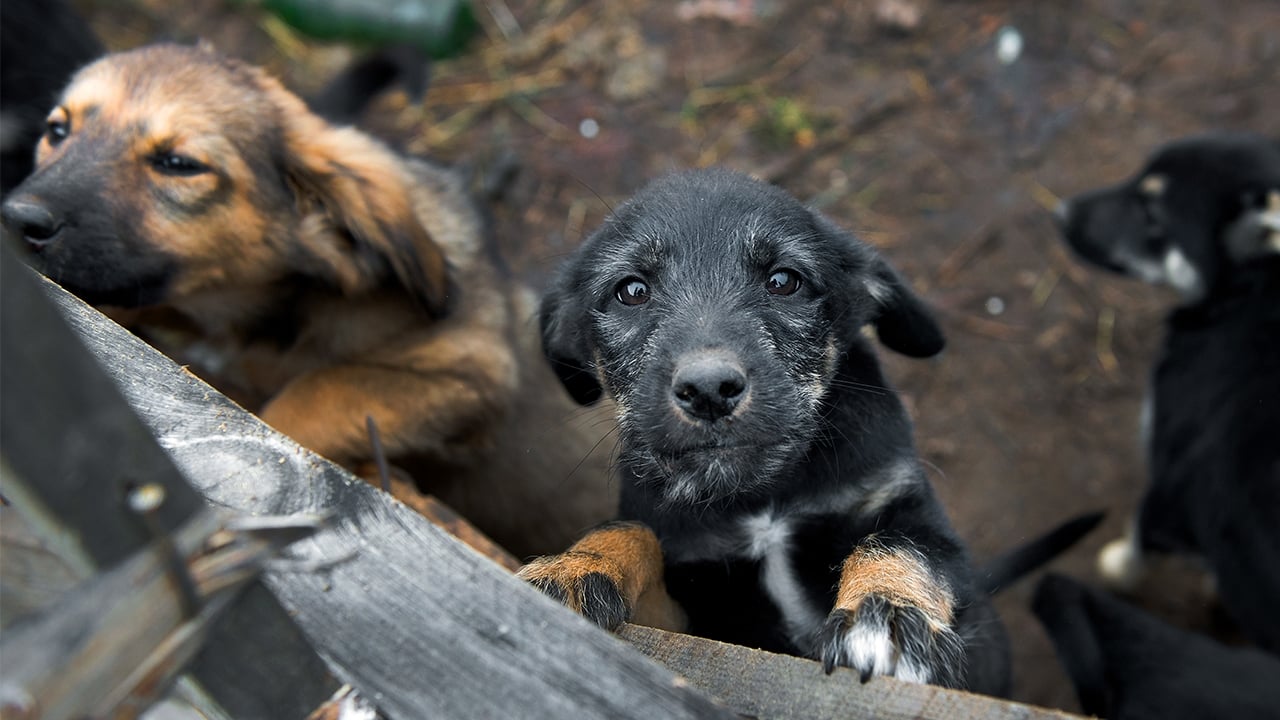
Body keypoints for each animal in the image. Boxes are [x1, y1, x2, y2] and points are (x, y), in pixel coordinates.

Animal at [0, 44, 619, 556]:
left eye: (179, 163)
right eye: (57, 129)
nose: (16, 219)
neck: (260, 314)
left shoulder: (472, 375)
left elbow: (313, 395)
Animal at [519, 167, 1100, 696]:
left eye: (784, 281)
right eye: (632, 291)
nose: (709, 389)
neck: (765, 495)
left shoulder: (907, 508)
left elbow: (901, 543)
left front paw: (886, 616)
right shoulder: (699, 611)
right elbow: (628, 530)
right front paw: (572, 571)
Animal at [1054, 130, 1280, 650]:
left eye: (1152, 214)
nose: (1061, 211)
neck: (1252, 290)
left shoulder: (1171, 484)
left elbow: (1138, 542)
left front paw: (1116, 568)